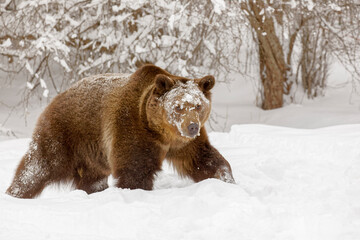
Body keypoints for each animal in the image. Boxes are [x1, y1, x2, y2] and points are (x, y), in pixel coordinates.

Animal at [7, 64, 236, 199]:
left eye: (198, 105)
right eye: (178, 107)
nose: (192, 126)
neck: (161, 132)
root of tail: (57, 97)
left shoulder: (184, 144)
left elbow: (203, 159)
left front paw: (227, 180)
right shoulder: (133, 130)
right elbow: (134, 170)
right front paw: (137, 191)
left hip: (92, 155)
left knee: (92, 179)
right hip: (66, 132)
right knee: (40, 165)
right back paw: (15, 193)